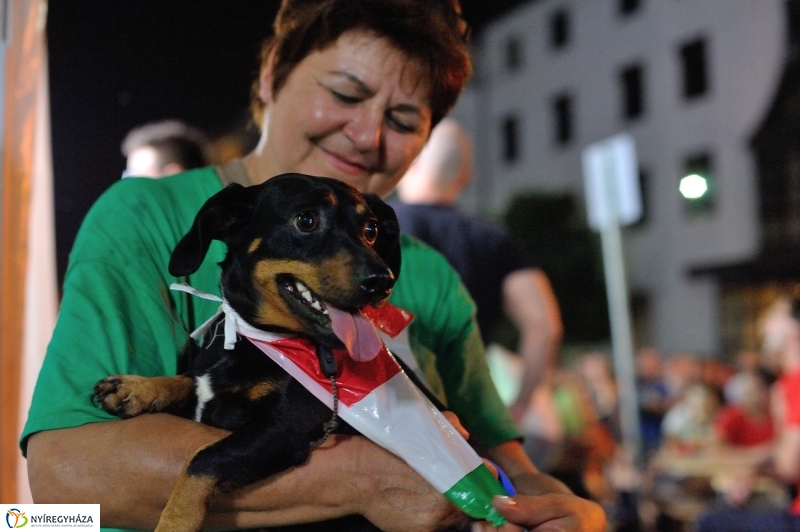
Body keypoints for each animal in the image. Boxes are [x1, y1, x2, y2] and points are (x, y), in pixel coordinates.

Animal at [94, 175, 406, 532]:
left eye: (371, 229)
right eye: (306, 220)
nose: (383, 282)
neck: (258, 340)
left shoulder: (283, 428)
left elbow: (202, 459)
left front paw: (174, 523)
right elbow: (189, 380)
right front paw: (134, 387)